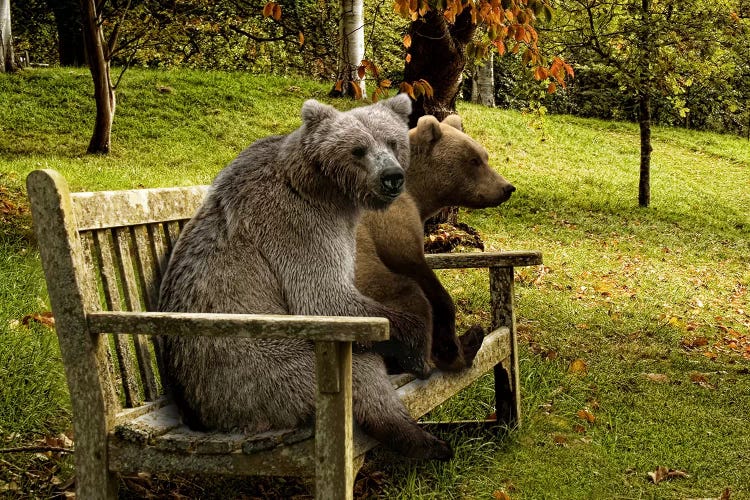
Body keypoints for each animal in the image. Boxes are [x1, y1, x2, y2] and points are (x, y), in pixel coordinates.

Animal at [356, 112, 516, 372]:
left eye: (485, 156)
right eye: (473, 160)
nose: (506, 188)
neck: (417, 192)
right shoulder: (391, 223)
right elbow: (421, 273)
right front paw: (454, 344)